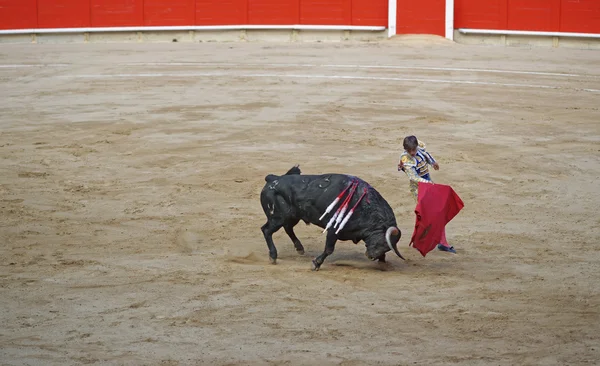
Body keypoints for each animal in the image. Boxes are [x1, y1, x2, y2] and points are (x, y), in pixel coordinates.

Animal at [258, 164, 404, 270]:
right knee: (267, 230)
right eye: (382, 242)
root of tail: (273, 178)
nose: (371, 256)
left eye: (387, 246)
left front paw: (383, 260)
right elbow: (329, 249)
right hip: (278, 218)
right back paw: (273, 256)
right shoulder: (333, 229)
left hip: (292, 216)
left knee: (288, 228)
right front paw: (316, 263)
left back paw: (299, 248)